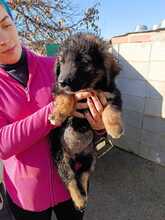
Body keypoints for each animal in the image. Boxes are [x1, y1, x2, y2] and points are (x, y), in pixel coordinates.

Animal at [49, 33, 124, 211]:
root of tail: (77, 156)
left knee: (83, 174)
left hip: (91, 156)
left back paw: (84, 195)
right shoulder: (58, 90)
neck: (90, 88)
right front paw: (57, 115)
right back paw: (79, 200)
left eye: (83, 61)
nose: (62, 81)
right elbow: (67, 96)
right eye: (62, 62)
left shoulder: (113, 94)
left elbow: (111, 109)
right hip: (61, 158)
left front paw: (115, 128)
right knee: (70, 179)